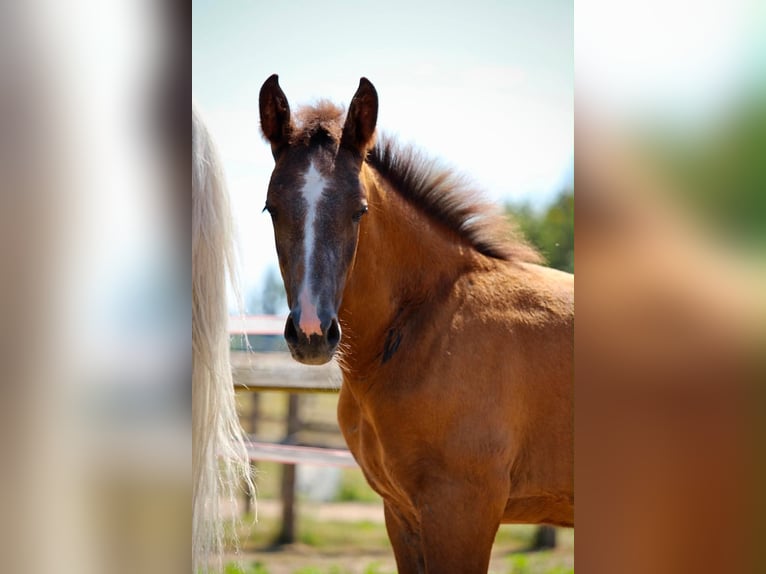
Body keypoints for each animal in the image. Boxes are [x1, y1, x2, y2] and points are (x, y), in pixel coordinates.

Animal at [258, 75, 574, 573]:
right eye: (272, 208)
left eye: (360, 210)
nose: (311, 333)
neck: (429, 324)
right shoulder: (402, 515)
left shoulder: (462, 511)